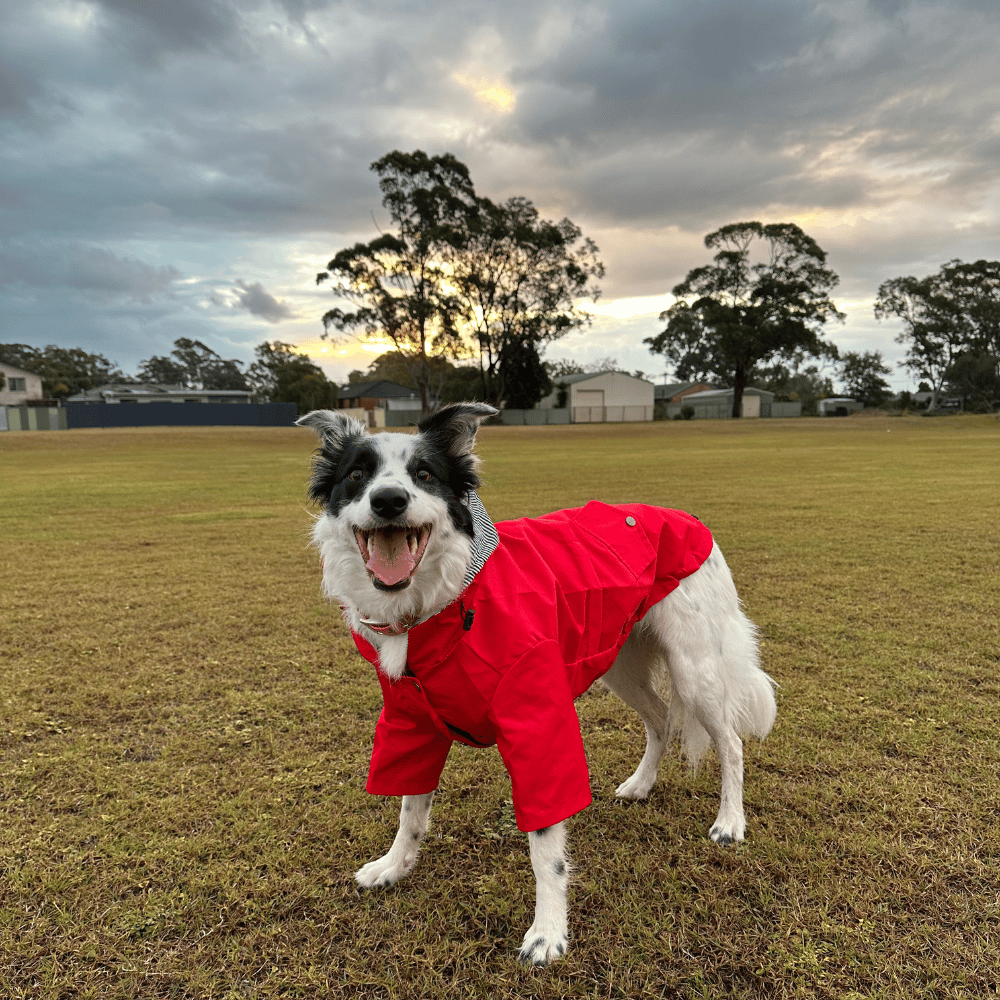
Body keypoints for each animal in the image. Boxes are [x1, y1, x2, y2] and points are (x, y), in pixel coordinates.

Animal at [292, 402, 776, 964]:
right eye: (356, 475)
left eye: (425, 474)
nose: (388, 500)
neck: (443, 602)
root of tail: (686, 518)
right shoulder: (412, 719)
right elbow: (411, 806)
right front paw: (395, 866)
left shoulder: (538, 723)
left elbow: (546, 846)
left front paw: (548, 931)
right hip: (618, 662)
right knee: (660, 719)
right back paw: (640, 785)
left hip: (695, 668)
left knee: (731, 743)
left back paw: (730, 822)